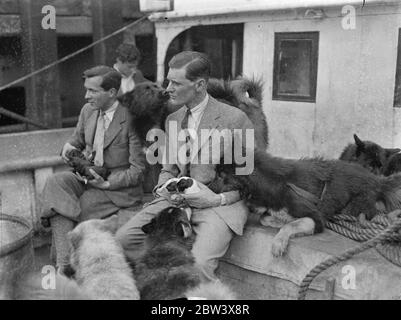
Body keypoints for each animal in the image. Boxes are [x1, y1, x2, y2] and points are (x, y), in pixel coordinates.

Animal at [217, 149, 401, 256]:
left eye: (221, 175)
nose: (210, 184)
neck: (275, 181)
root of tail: (378, 180)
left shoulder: (316, 218)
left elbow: (291, 225)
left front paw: (279, 240)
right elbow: (266, 218)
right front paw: (278, 220)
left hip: (354, 207)